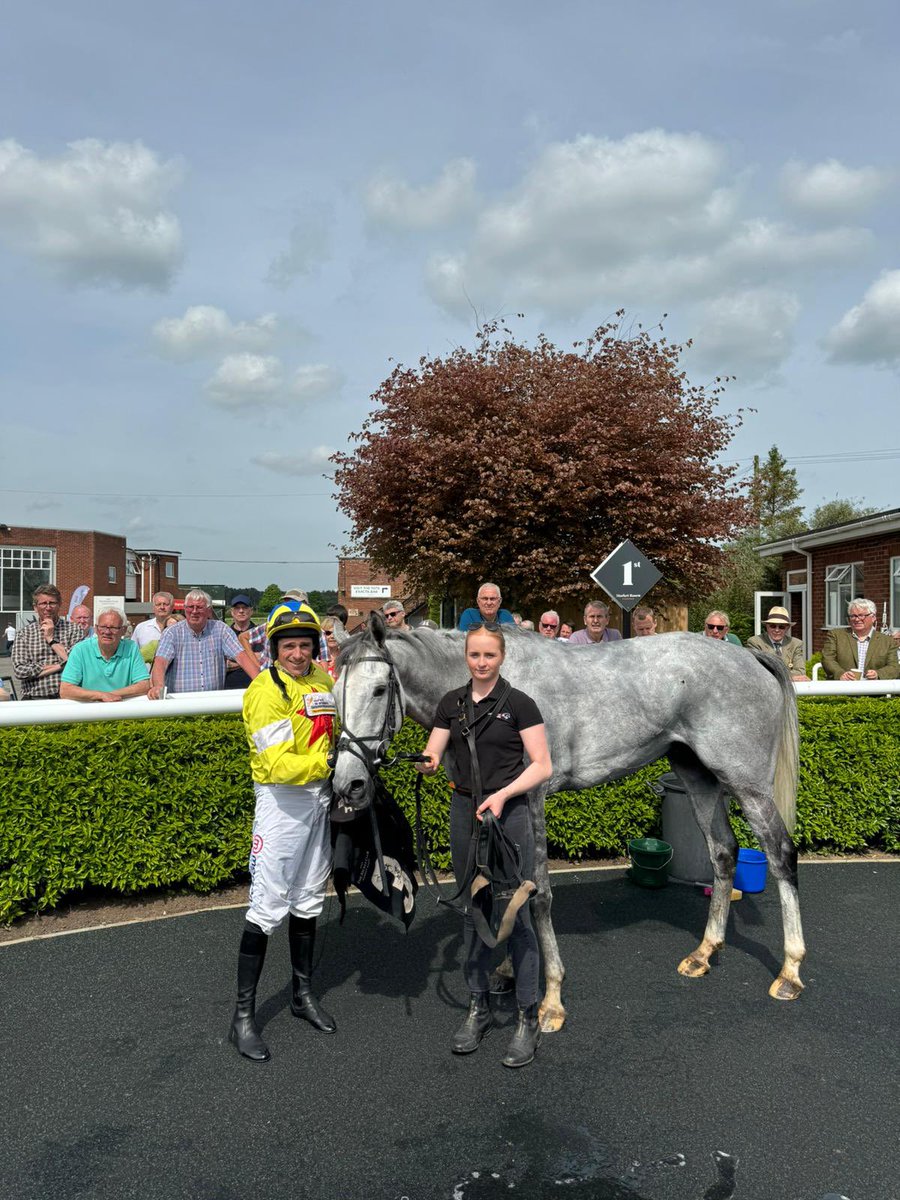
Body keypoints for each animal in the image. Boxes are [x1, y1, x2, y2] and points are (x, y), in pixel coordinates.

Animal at [333, 619, 811, 1032]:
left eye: (378, 689)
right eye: (334, 694)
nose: (348, 784)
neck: (492, 691)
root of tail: (750, 658)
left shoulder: (531, 799)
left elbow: (538, 894)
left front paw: (551, 1001)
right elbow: (507, 889)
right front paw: (507, 968)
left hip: (746, 783)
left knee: (781, 853)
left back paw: (790, 971)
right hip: (697, 773)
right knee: (723, 851)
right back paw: (704, 952)